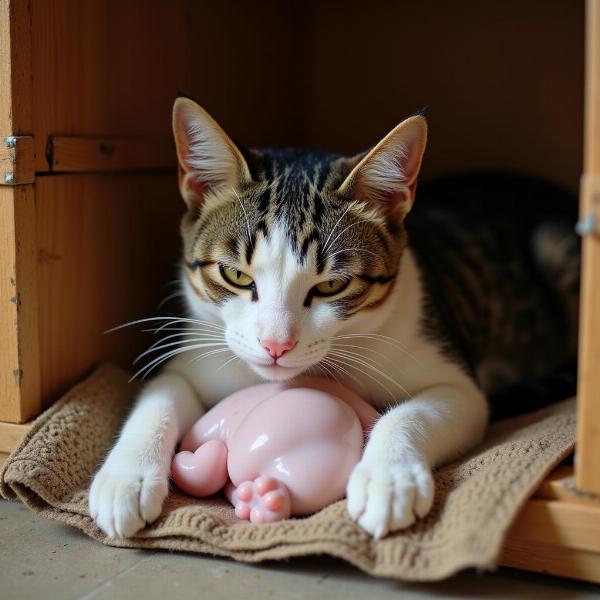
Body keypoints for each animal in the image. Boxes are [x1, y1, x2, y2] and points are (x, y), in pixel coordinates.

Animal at [88, 97, 576, 540]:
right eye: (235, 274)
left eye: (331, 286)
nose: (276, 345)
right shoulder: (200, 350)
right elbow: (162, 391)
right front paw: (125, 478)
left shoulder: (458, 382)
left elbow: (417, 411)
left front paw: (387, 479)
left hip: (556, 244)